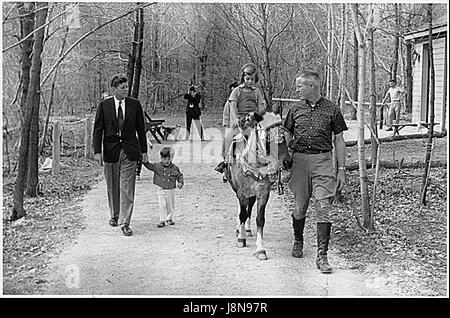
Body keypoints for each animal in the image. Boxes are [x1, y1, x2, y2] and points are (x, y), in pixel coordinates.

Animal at [225, 111, 292, 258]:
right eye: (267, 138)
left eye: (284, 136)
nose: (287, 162)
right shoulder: (242, 192)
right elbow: (242, 214)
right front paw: (241, 239)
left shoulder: (263, 193)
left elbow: (260, 219)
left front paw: (260, 249)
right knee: (242, 210)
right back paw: (240, 229)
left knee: (249, 208)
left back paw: (248, 229)